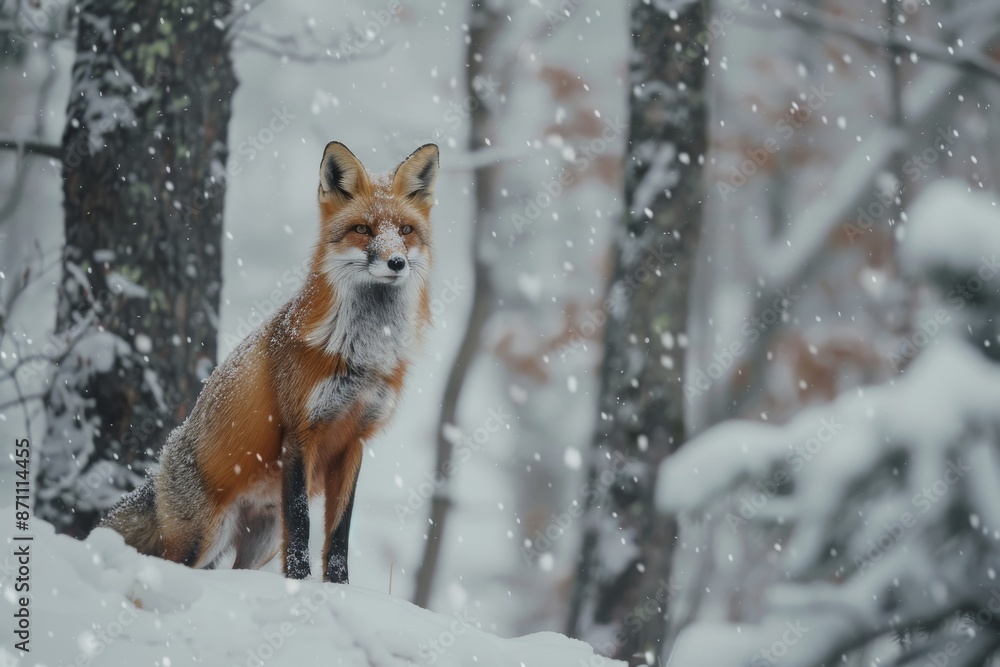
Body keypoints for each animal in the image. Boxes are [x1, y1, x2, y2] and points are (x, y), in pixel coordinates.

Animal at [101, 141, 439, 583]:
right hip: (200, 540)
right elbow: (303, 524)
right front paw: (300, 583)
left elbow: (339, 533)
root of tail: (157, 469)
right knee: (166, 562)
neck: (361, 354)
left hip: (258, 542)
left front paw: (339, 587)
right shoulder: (300, 433)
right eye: (363, 229)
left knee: (237, 569)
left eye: (405, 231)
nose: (396, 262)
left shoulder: (355, 441)